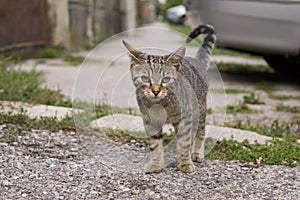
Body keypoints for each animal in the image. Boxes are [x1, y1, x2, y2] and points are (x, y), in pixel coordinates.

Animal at [123, 24, 217, 172]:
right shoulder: (150, 120)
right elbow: (155, 144)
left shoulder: (185, 117)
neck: (160, 104)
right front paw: (156, 164)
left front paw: (185, 163)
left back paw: (196, 153)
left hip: (200, 109)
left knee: (200, 131)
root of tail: (196, 61)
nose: (156, 91)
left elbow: (184, 141)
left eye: (165, 79)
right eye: (145, 79)